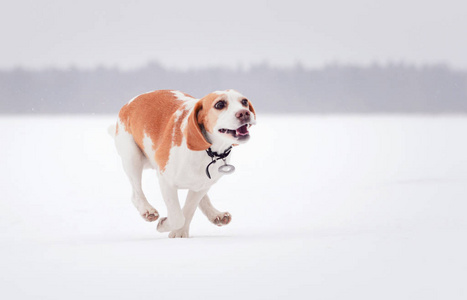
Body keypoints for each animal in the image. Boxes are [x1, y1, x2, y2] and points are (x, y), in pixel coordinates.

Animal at [109, 88, 256, 238]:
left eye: (244, 102)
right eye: (219, 104)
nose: (244, 113)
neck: (208, 151)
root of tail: (129, 103)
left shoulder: (201, 187)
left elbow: (188, 210)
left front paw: (180, 232)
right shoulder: (166, 182)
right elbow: (177, 217)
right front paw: (165, 225)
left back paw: (215, 214)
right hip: (132, 158)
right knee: (136, 194)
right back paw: (147, 209)